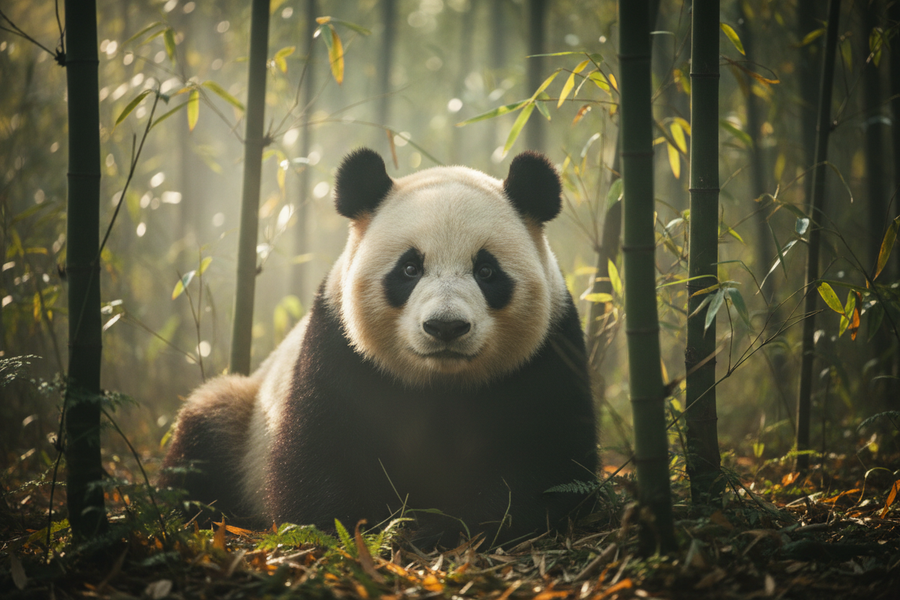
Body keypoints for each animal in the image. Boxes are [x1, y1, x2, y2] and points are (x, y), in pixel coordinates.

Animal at [161, 148, 598, 546]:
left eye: (487, 271)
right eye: (409, 268)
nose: (445, 326)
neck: (441, 384)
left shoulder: (549, 353)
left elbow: (550, 465)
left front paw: (441, 529)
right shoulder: (339, 348)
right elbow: (318, 456)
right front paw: (363, 528)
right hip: (242, 419)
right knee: (204, 431)